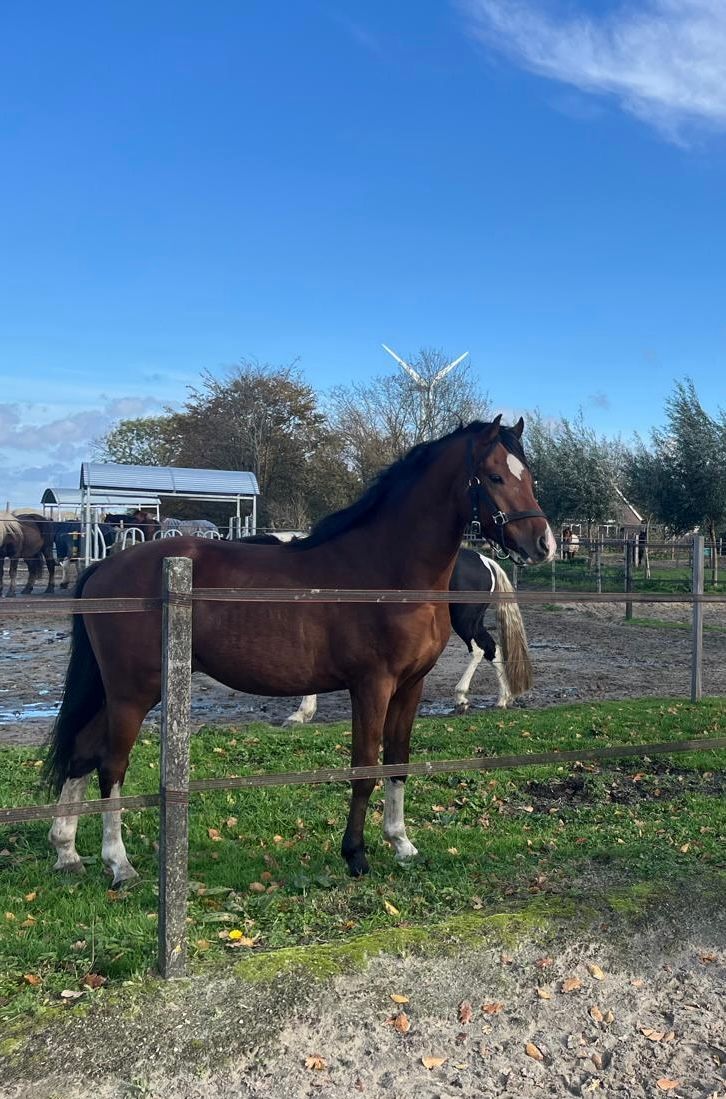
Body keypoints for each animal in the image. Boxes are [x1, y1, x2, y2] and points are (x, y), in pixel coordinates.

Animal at [285, 548, 532, 724]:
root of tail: (484, 560)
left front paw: (300, 714)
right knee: (492, 649)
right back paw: (502, 699)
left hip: (464, 619)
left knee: (480, 649)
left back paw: (461, 697)